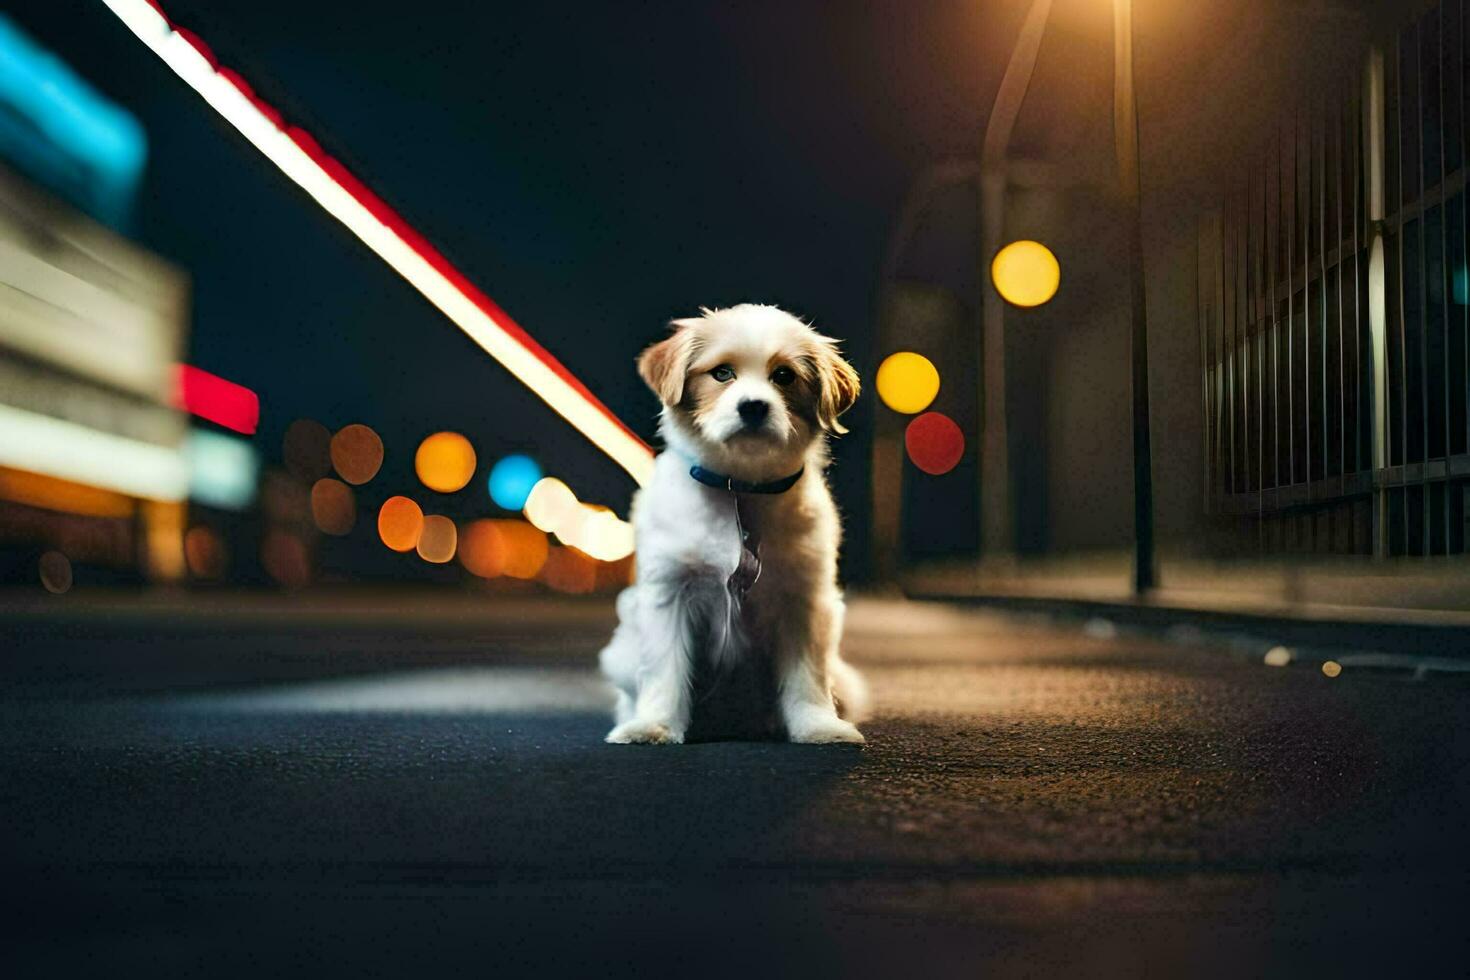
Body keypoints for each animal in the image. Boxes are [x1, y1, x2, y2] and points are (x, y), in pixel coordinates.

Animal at [599, 307, 870, 743]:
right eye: (722, 373)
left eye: (784, 376)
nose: (754, 407)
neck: (741, 487)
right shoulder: (669, 593)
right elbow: (664, 669)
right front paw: (654, 725)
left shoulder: (805, 598)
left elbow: (807, 676)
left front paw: (818, 726)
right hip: (621, 649)